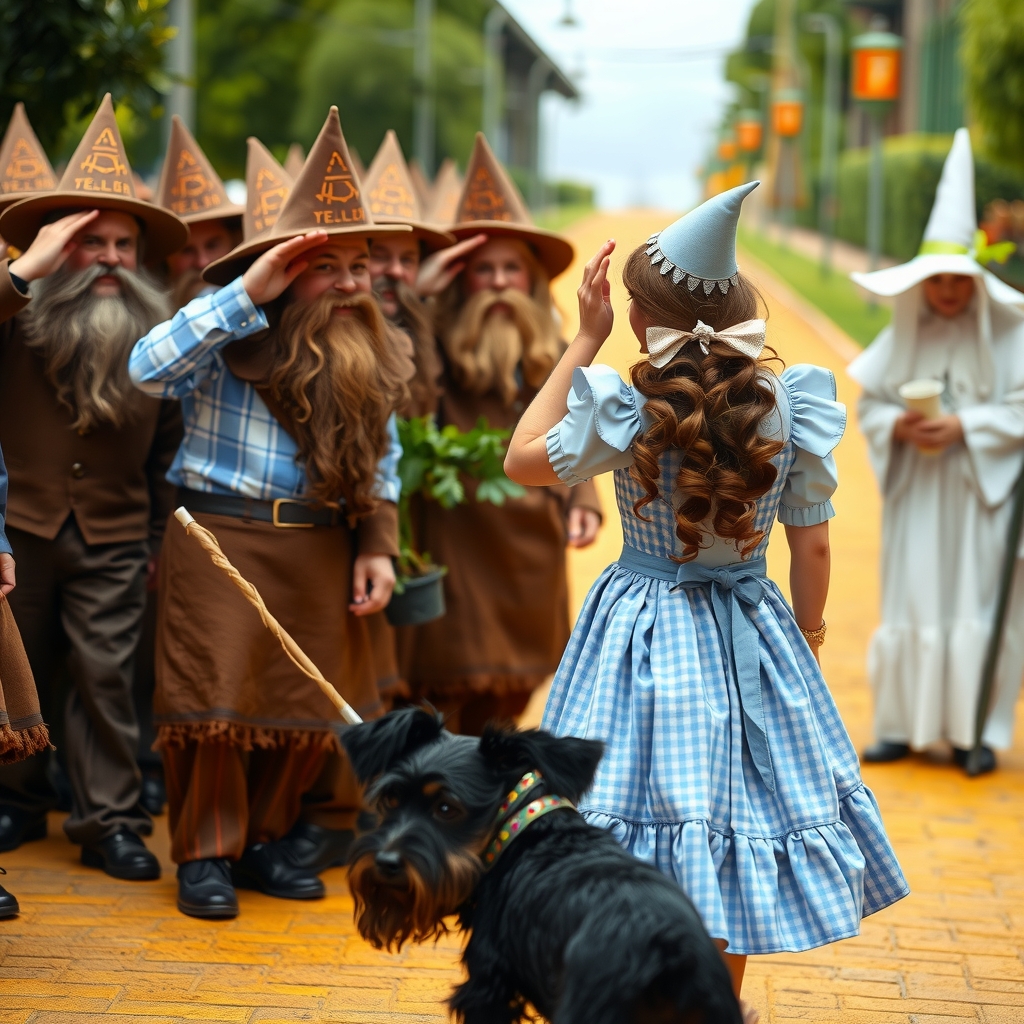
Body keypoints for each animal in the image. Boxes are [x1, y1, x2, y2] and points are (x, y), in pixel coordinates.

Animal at [344, 708, 745, 1024]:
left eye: (446, 808)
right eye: (391, 798)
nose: (386, 862)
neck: (522, 831)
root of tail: (671, 955)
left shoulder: (487, 986)